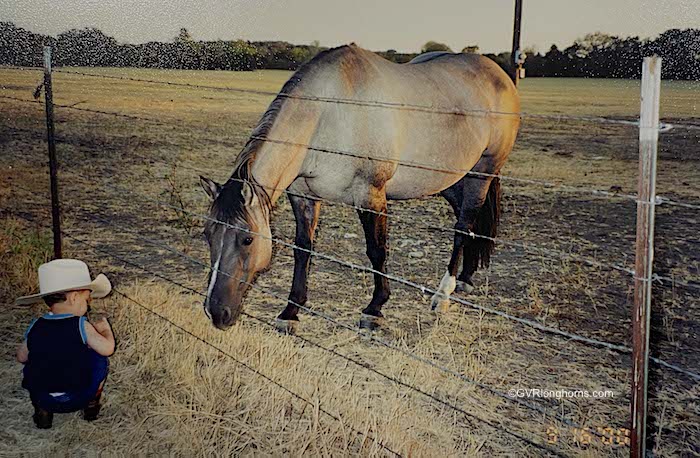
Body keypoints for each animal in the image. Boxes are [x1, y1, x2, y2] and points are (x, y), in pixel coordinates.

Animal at [200, 44, 516, 330]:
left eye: (247, 239)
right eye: (208, 235)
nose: (216, 313)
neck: (329, 113)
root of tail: (499, 75)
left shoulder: (370, 195)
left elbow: (377, 250)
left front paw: (374, 309)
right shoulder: (302, 195)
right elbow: (303, 249)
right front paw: (291, 311)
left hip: (482, 173)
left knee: (463, 227)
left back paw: (443, 294)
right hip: (450, 181)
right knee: (470, 223)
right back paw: (466, 277)